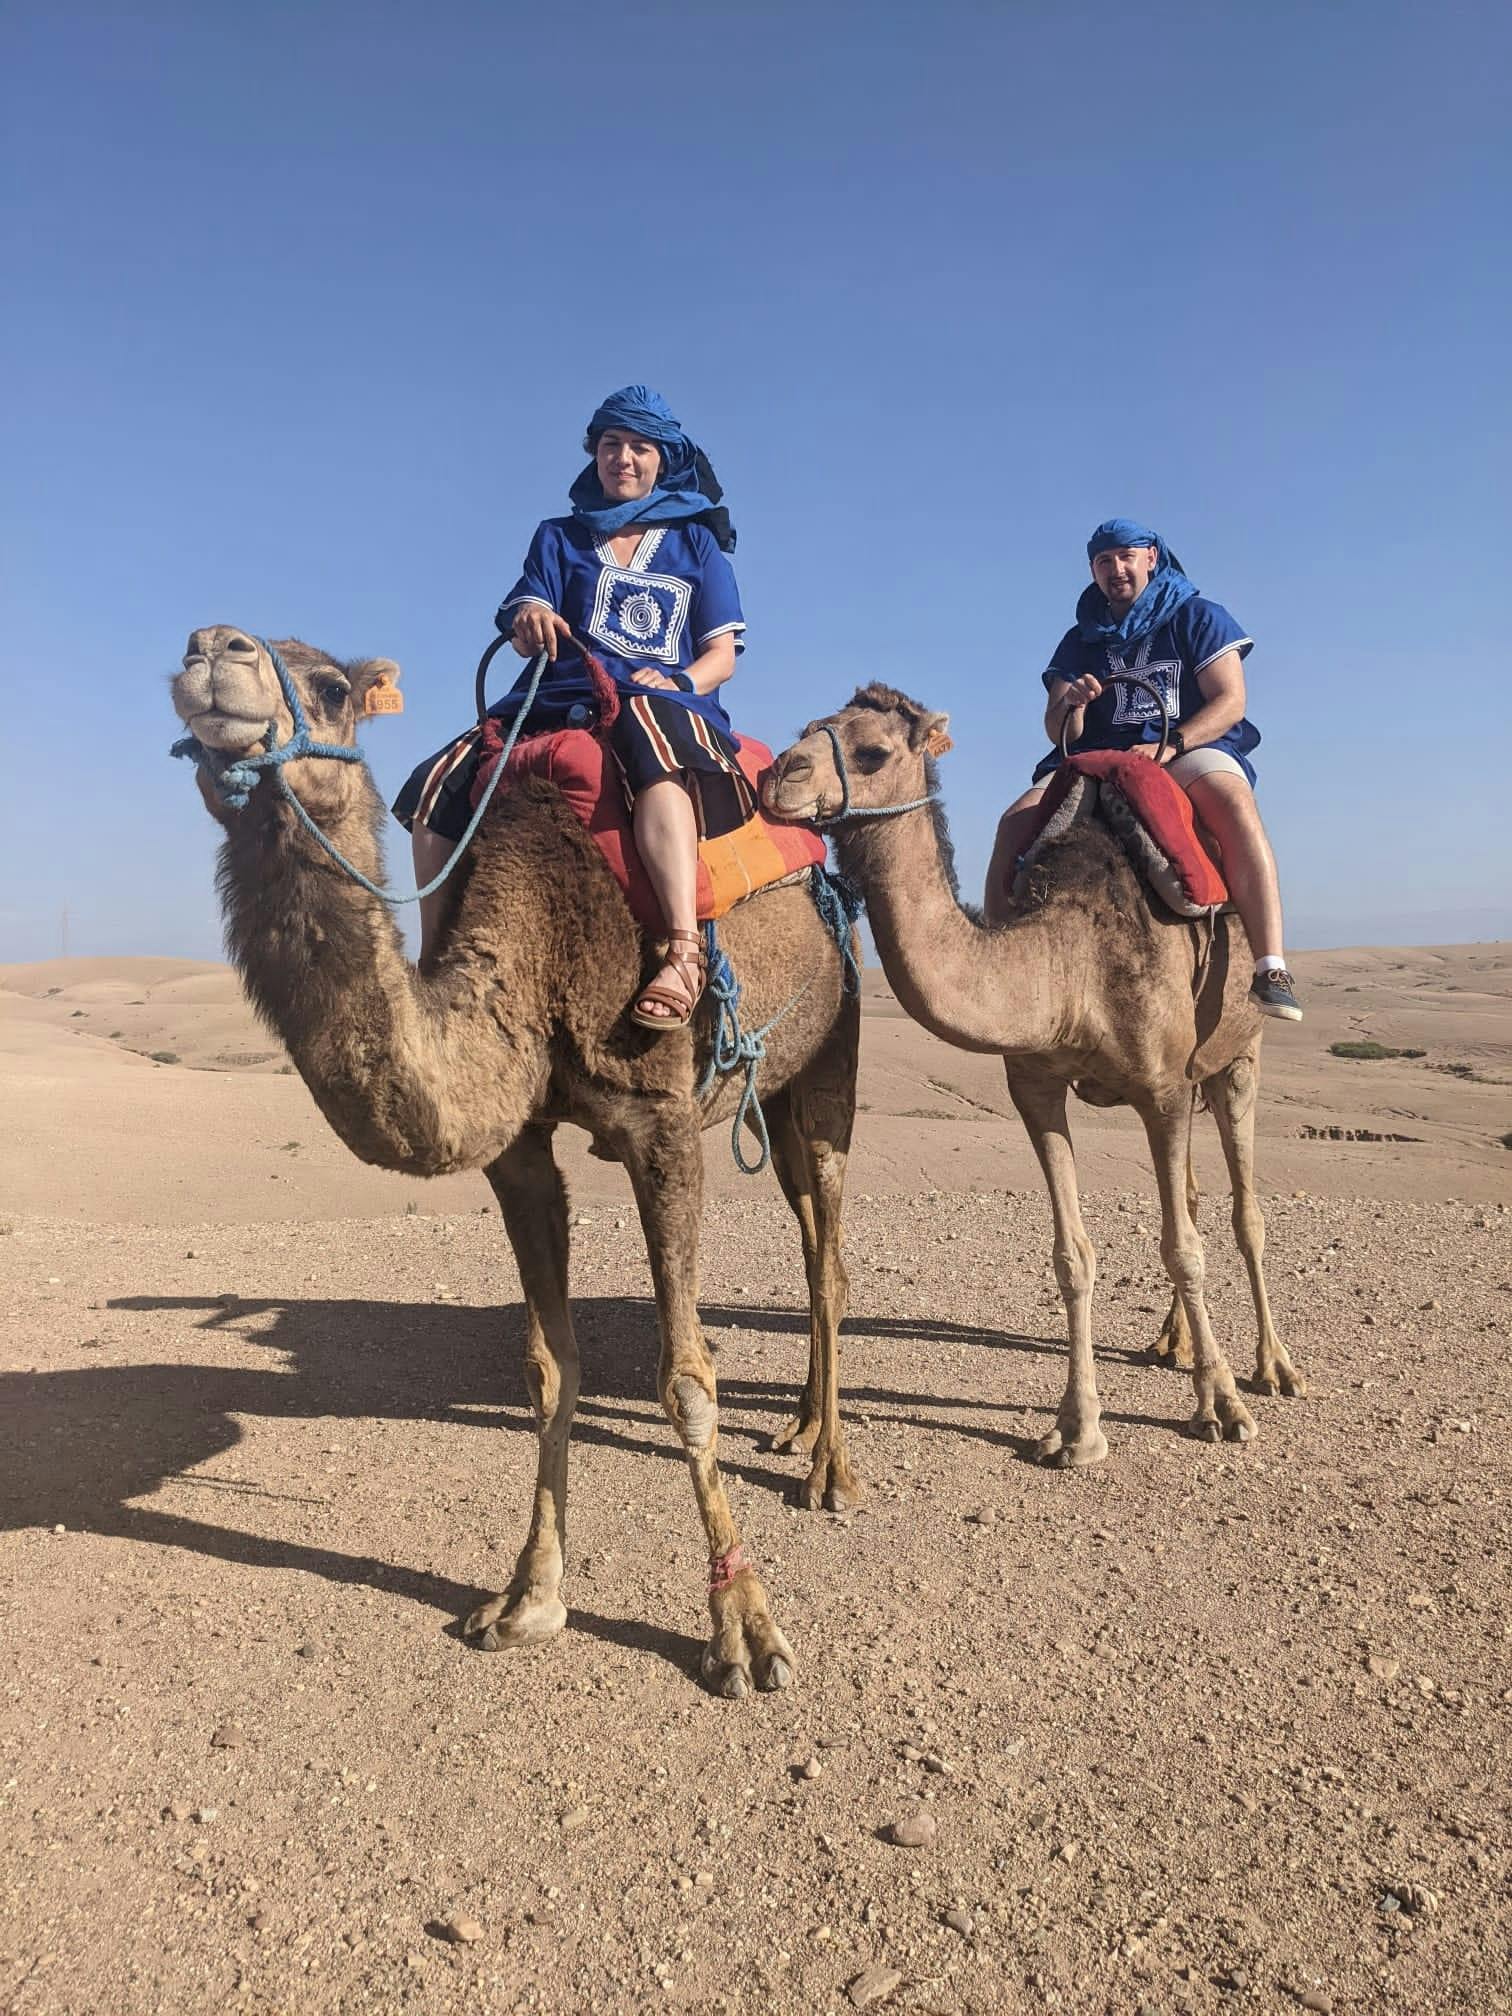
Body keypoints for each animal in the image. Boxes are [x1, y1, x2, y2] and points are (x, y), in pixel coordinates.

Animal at [170, 627, 863, 1699]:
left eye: (330, 689)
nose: (211, 647)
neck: (535, 960)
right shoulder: (521, 1155)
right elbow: (546, 1367)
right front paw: (527, 1597)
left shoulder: (662, 1129)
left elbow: (685, 1381)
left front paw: (745, 1628)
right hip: (776, 1091)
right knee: (802, 1225)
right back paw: (794, 1429)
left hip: (834, 1046)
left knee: (826, 1251)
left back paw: (830, 1468)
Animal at [762, 684, 1304, 1469]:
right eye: (808, 728)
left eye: (873, 751)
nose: (780, 775)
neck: (1069, 964)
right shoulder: (1037, 1090)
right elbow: (1073, 1256)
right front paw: (1077, 1429)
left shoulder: (1162, 1088)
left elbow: (1183, 1249)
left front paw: (1223, 1405)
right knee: (1196, 1199)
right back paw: (1171, 1344)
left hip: (1239, 1057)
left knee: (1245, 1213)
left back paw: (1273, 1367)